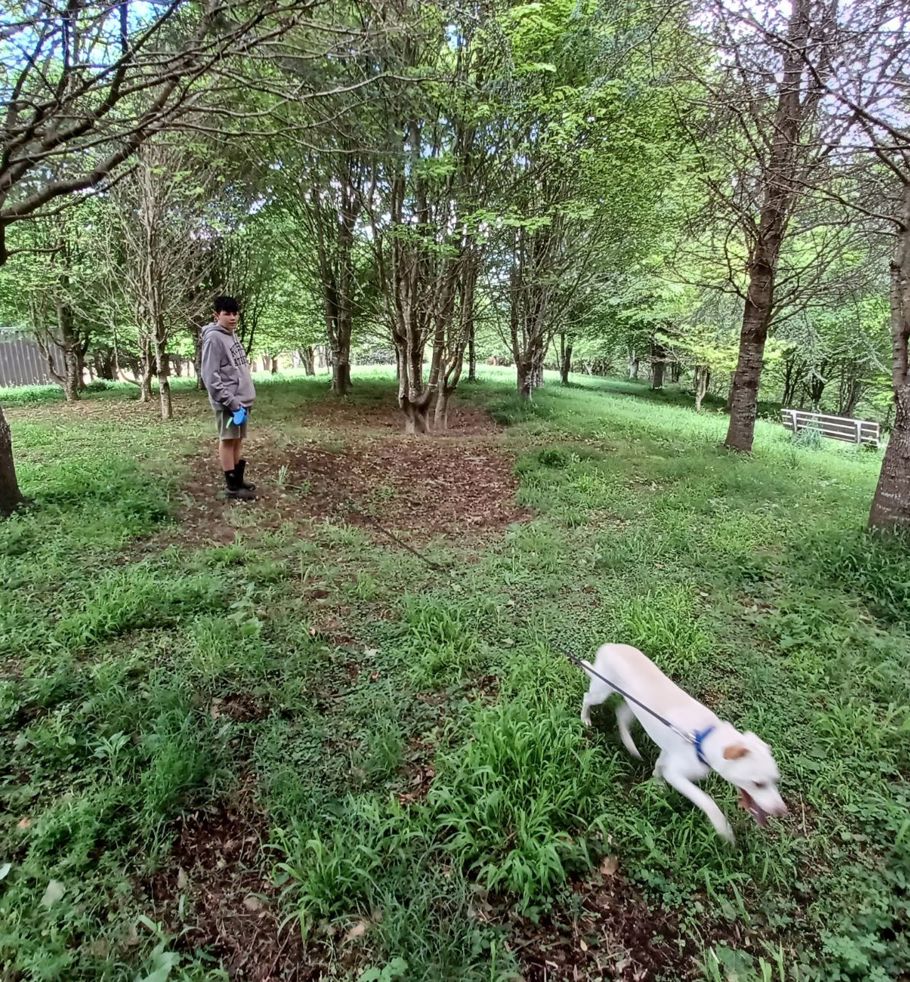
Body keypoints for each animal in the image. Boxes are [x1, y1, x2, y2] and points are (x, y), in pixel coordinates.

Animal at [584, 640, 792, 840]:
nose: (782, 812)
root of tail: (609, 646)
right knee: (588, 698)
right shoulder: (676, 774)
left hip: (634, 707)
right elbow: (707, 801)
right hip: (601, 690)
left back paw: (631, 746)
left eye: (776, 780)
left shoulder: (668, 754)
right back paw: (585, 719)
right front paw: (724, 831)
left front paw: (656, 785)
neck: (703, 740)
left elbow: (659, 767)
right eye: (758, 784)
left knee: (620, 715)